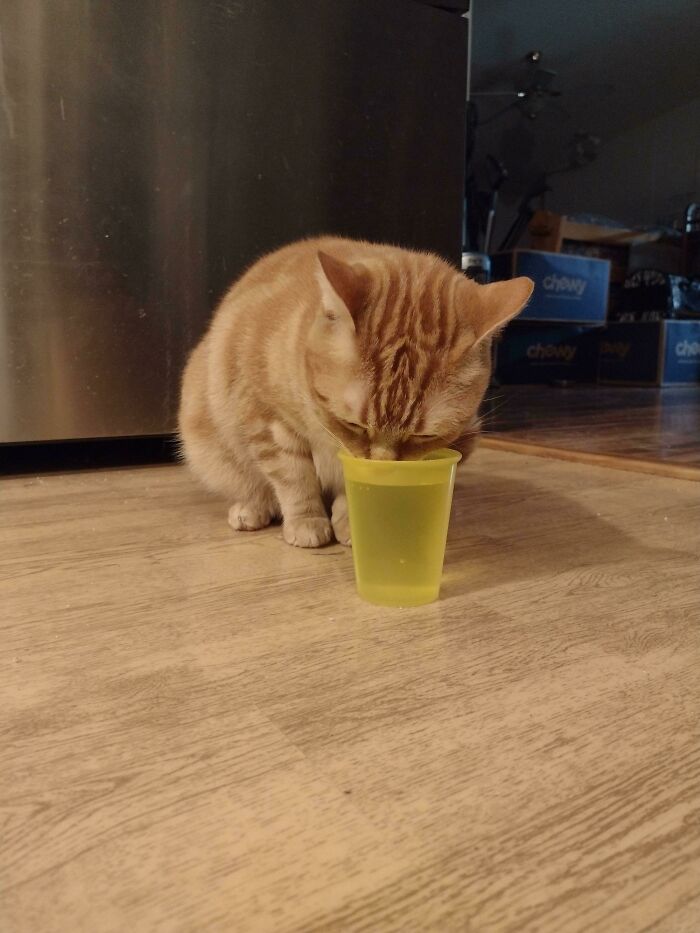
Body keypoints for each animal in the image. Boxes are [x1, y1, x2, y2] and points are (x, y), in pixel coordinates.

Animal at [178, 233, 532, 548]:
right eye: (352, 424)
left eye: (425, 436)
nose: (383, 464)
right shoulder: (267, 418)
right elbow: (294, 478)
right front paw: (307, 521)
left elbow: (351, 489)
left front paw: (356, 525)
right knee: (253, 485)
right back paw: (252, 509)